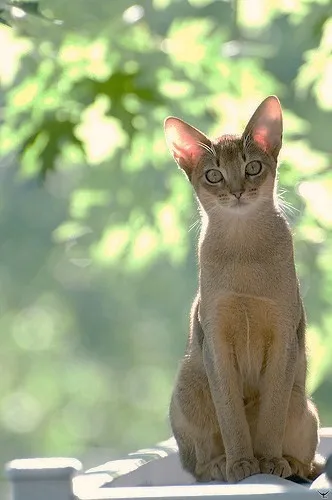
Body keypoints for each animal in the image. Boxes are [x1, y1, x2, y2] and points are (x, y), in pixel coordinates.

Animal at [163, 94, 322, 484]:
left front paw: (269, 461)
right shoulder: (216, 341)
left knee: (311, 460)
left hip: (303, 405)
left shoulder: (284, 337)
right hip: (188, 390)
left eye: (252, 167)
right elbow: (231, 415)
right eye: (214, 174)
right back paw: (218, 465)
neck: (244, 252)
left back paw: (292, 464)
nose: (236, 191)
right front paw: (240, 463)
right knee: (195, 465)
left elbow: (271, 416)